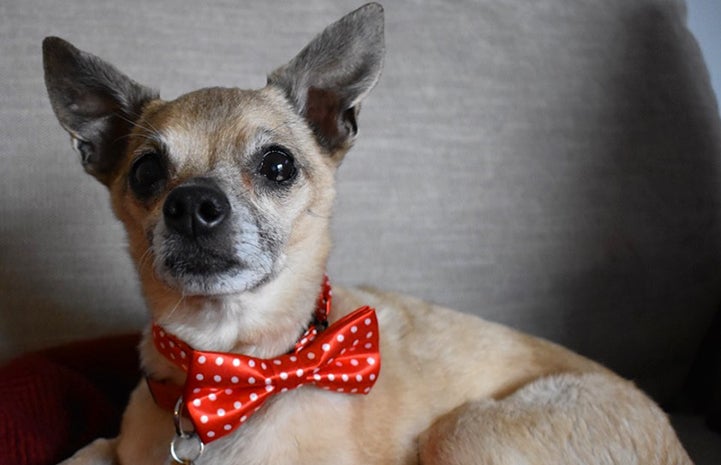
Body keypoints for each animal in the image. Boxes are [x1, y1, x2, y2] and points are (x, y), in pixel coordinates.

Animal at [43, 3, 692, 464]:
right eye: (146, 172)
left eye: (278, 165)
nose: (193, 205)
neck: (232, 372)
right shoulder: (112, 449)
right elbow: (88, 452)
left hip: (465, 433)